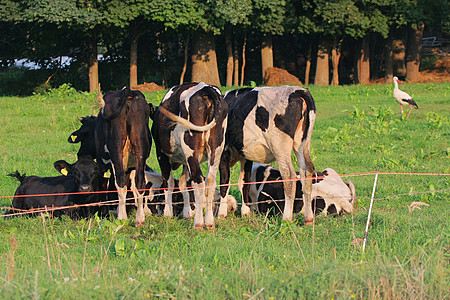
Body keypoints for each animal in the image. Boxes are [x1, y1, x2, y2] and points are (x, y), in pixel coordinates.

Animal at [152, 81, 229, 227]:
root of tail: (206, 88)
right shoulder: (185, 161)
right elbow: (183, 184)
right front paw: (187, 212)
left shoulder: (161, 154)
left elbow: (168, 183)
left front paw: (167, 213)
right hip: (216, 147)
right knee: (210, 180)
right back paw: (209, 222)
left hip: (191, 147)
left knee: (198, 180)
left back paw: (198, 223)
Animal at [218, 85, 316, 224]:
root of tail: (297, 90)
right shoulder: (246, 156)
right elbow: (244, 182)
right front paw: (245, 212)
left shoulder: (223, 153)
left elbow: (224, 183)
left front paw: (221, 214)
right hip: (302, 143)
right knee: (307, 172)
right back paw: (308, 219)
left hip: (280, 146)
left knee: (289, 175)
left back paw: (286, 218)